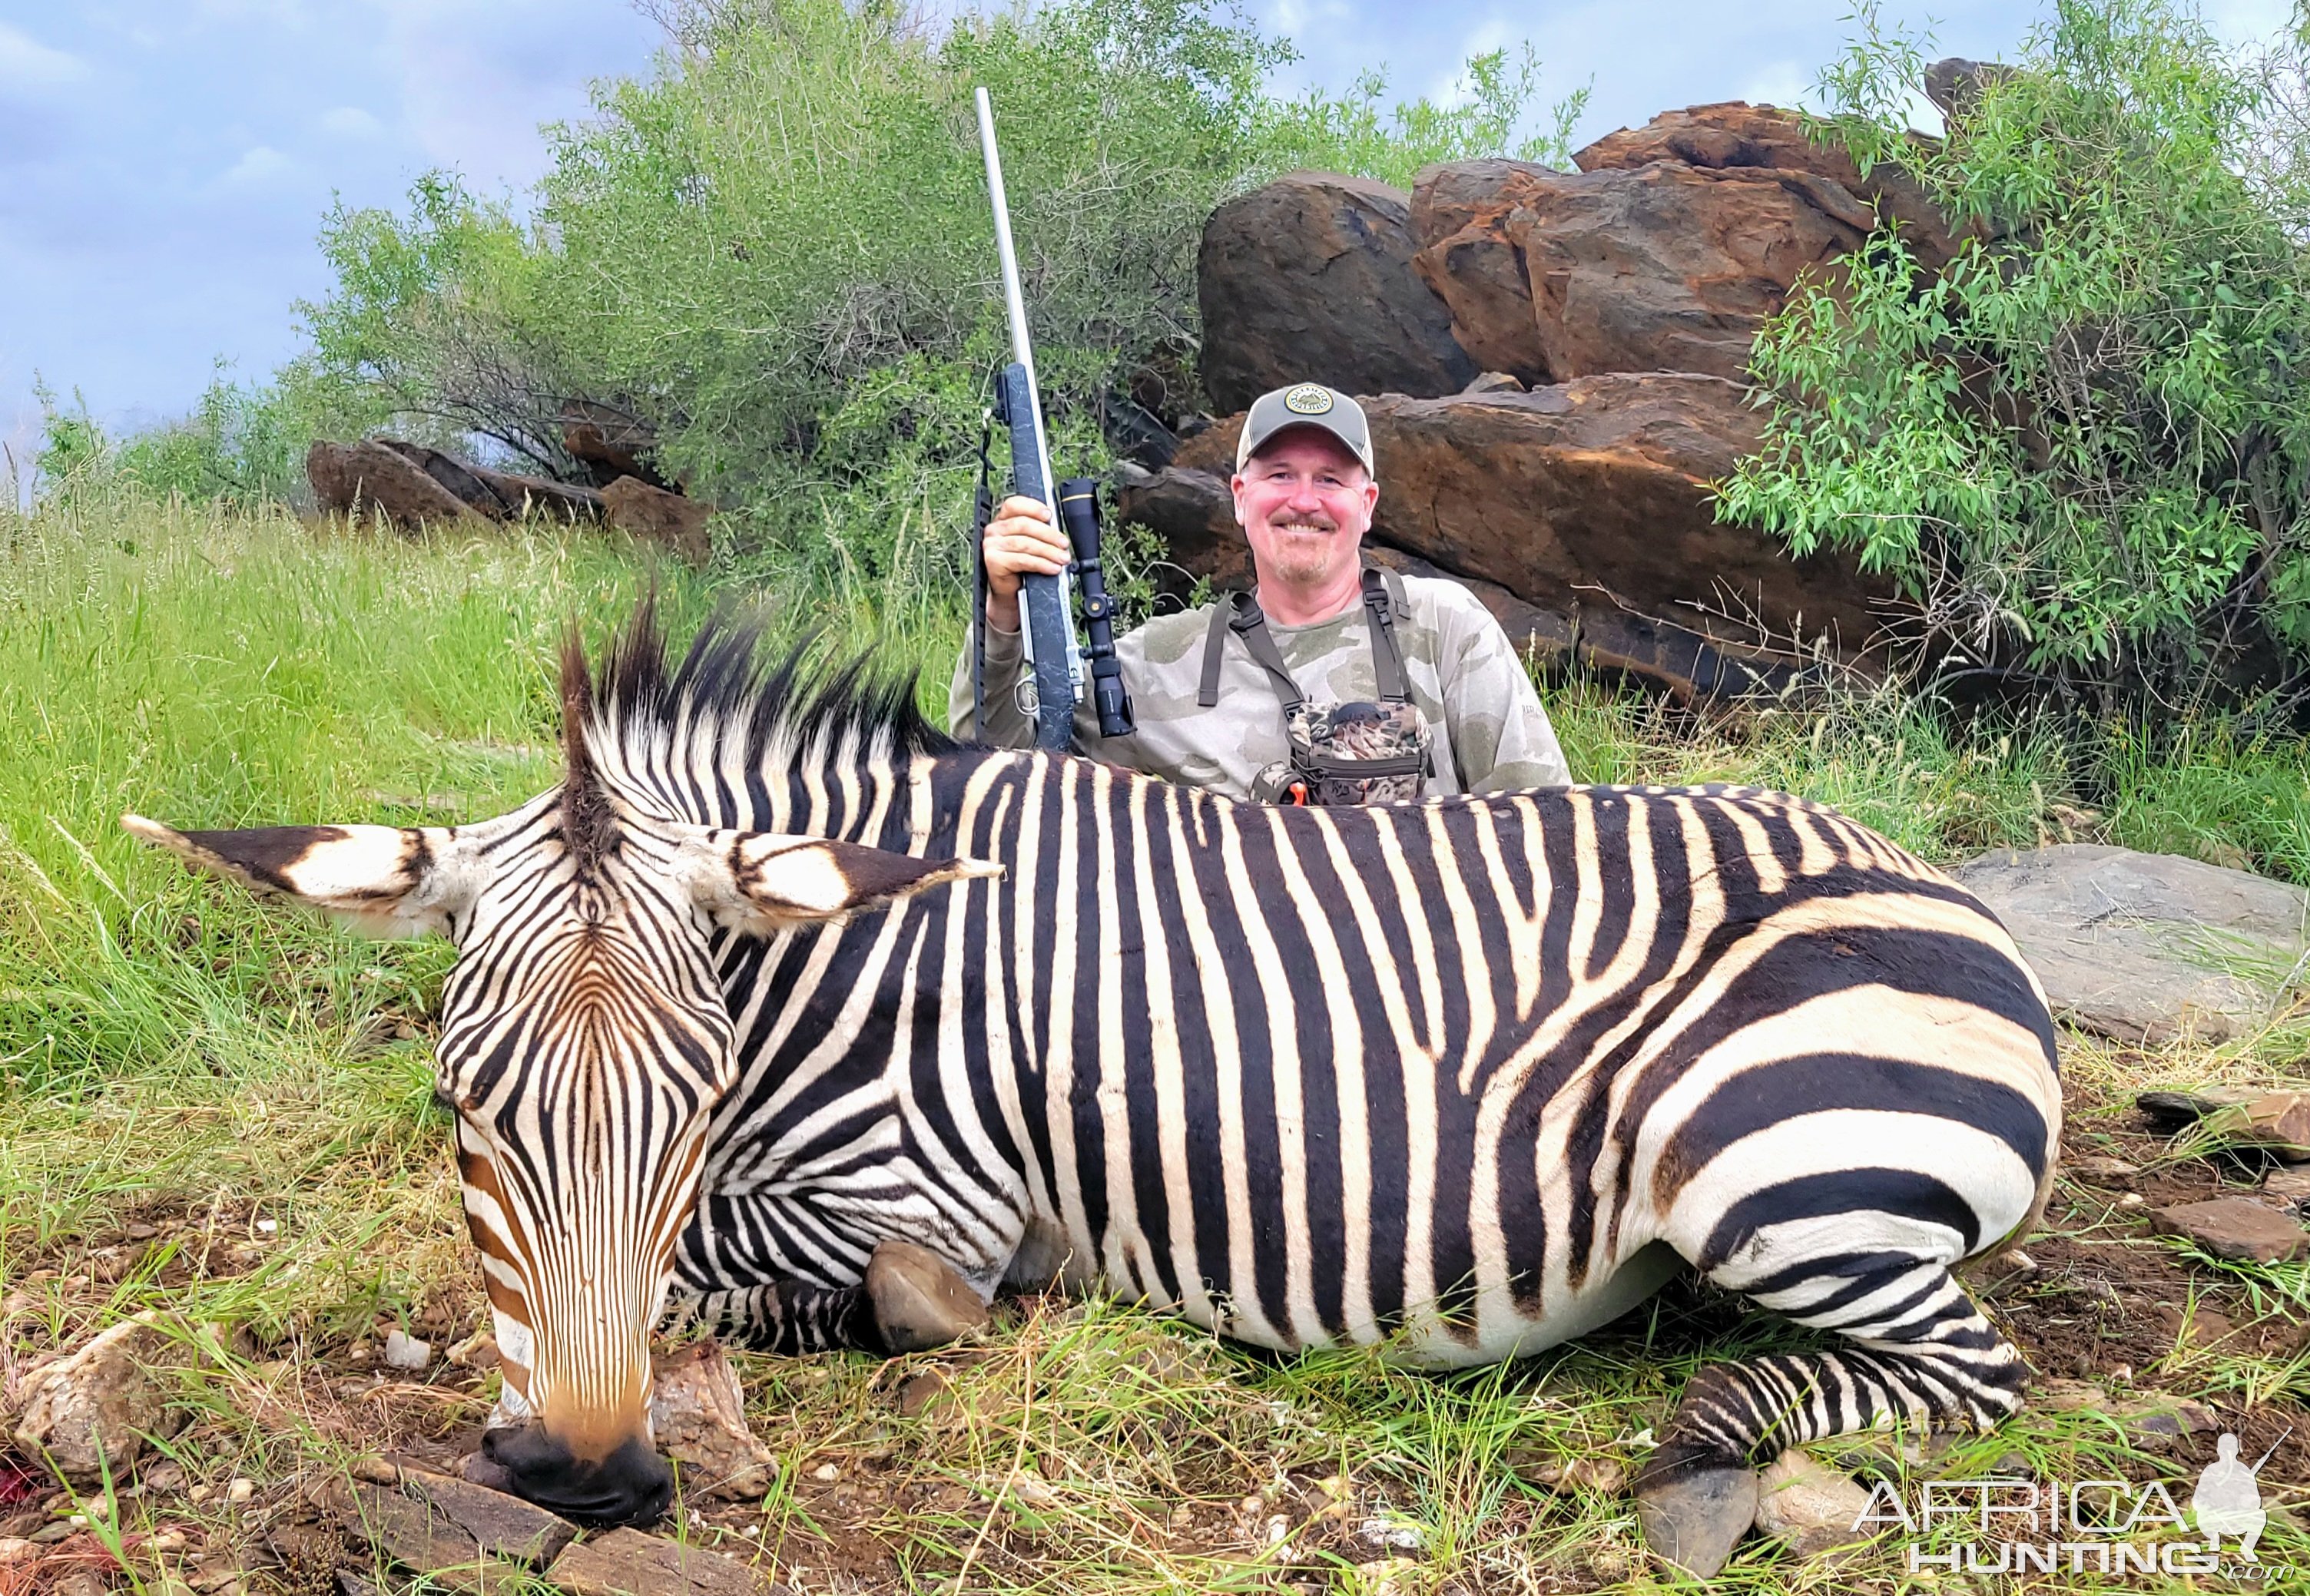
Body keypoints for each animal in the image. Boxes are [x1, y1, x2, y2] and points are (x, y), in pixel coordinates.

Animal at [131, 609, 2060, 1570]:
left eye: (692, 1095)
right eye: (460, 1102)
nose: (583, 1482)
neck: (843, 958)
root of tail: (1962, 903)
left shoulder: (928, 1189)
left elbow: (750, 1280)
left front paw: (924, 1316)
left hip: (1756, 1164)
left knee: (1968, 1375)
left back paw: (1710, 1421)